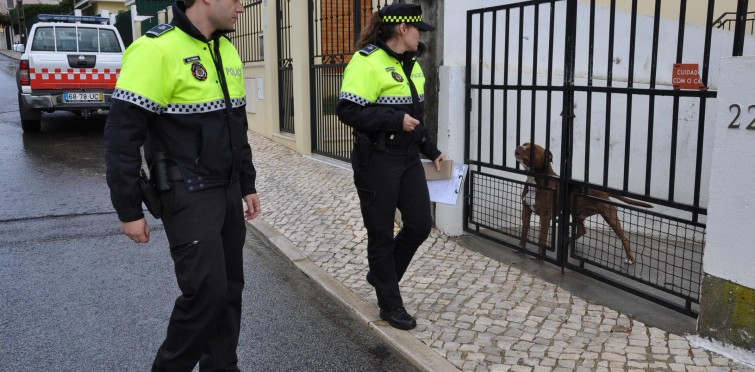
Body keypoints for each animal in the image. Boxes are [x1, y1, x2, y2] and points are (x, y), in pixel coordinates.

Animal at [516, 142, 652, 264]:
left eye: (533, 149)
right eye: (524, 143)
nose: (519, 146)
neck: (535, 180)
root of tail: (603, 191)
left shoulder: (545, 216)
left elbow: (542, 237)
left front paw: (539, 255)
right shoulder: (526, 210)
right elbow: (524, 231)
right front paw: (521, 248)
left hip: (610, 216)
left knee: (624, 238)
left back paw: (630, 258)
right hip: (577, 213)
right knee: (582, 230)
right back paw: (568, 240)